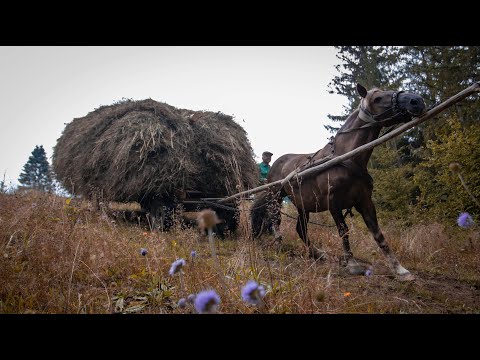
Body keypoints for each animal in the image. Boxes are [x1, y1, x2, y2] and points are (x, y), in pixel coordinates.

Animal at [249, 83, 426, 282]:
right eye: (377, 99)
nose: (416, 101)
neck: (347, 158)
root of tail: (277, 162)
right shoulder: (333, 201)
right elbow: (344, 230)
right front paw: (352, 263)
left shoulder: (365, 201)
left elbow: (377, 233)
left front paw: (399, 269)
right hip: (276, 196)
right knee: (275, 219)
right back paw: (279, 242)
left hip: (303, 204)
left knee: (301, 228)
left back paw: (316, 253)